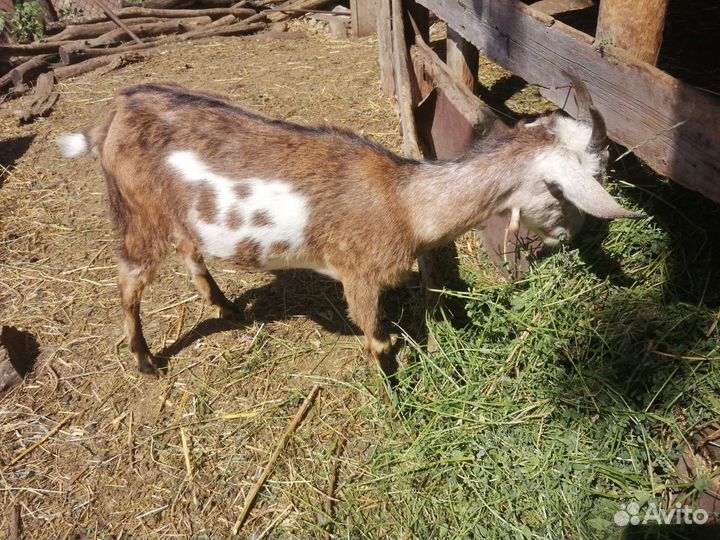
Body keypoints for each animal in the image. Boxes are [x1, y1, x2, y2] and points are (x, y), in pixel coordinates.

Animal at [57, 79, 639, 377]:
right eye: (573, 188)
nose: (566, 241)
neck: (405, 202)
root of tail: (114, 113)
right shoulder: (359, 276)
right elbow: (379, 342)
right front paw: (398, 403)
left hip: (179, 213)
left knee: (189, 250)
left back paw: (225, 307)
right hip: (137, 211)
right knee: (129, 281)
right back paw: (144, 360)